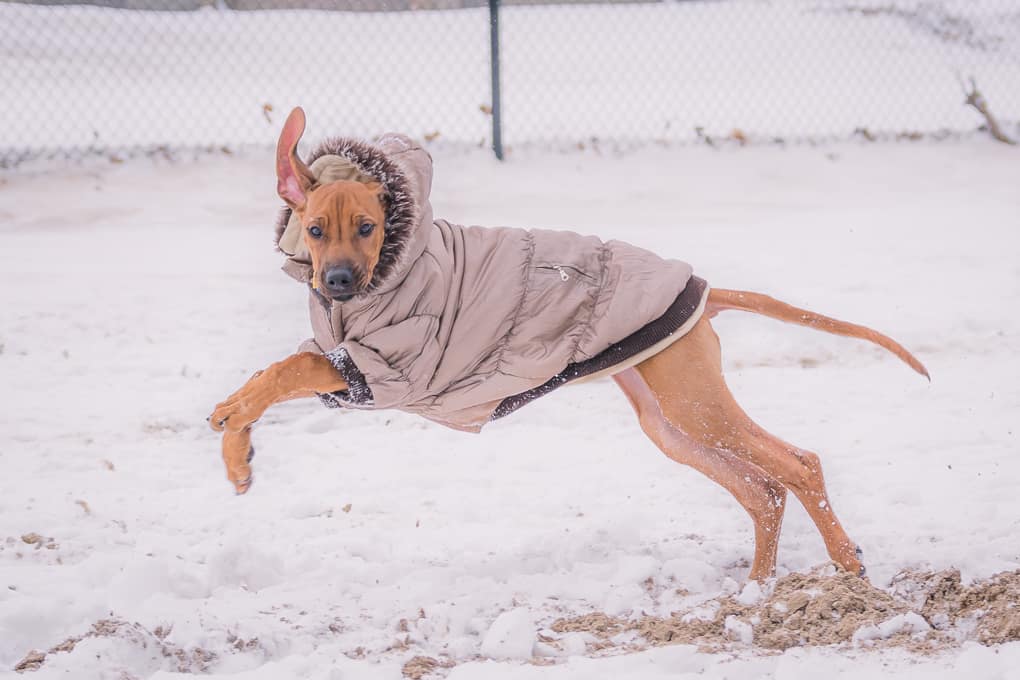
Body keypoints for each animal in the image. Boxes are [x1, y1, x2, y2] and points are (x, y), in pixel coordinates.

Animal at [211, 107, 930, 579]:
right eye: (312, 229)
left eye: (366, 226)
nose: (335, 280)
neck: (392, 270)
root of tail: (700, 289)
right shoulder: (351, 362)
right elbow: (283, 368)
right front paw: (238, 456)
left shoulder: (382, 369)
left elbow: (286, 368)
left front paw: (233, 416)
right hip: (669, 422)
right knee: (764, 491)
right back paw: (756, 590)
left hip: (695, 403)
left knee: (799, 465)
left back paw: (846, 566)